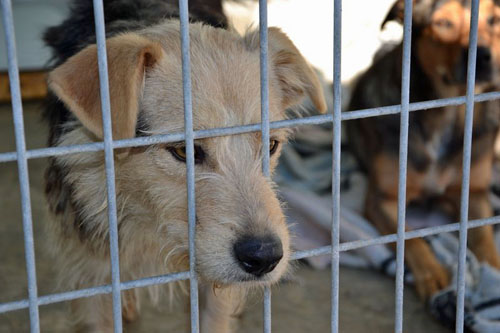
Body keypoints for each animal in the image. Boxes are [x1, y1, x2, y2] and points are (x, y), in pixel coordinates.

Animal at [346, 0, 500, 300]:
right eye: (443, 24)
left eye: (493, 20)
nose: (483, 56)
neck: (448, 113)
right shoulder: (382, 200)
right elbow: (410, 236)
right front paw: (433, 273)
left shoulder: (474, 193)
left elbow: (484, 236)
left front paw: (495, 269)